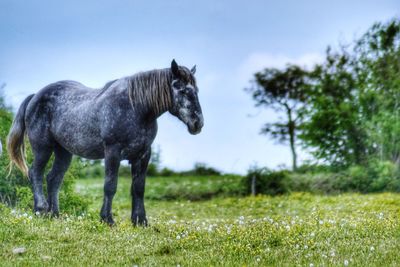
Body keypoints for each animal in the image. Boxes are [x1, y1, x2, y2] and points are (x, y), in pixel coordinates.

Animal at [7, 60, 203, 226]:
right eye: (182, 90)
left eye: (196, 90)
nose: (198, 123)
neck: (136, 107)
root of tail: (35, 96)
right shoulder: (112, 152)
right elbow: (110, 186)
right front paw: (107, 219)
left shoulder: (142, 155)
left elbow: (138, 188)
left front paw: (140, 221)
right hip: (43, 148)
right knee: (35, 173)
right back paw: (40, 210)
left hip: (63, 152)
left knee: (53, 179)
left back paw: (54, 214)